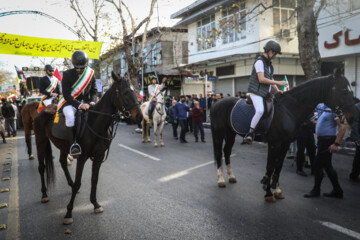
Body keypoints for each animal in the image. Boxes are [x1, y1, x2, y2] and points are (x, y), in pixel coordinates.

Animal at [34, 71, 142, 225]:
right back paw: (44, 194)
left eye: (135, 91)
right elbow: (79, 183)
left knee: (62, 162)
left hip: (62, 145)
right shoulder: (82, 157)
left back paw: (69, 184)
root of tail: (44, 110)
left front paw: (95, 204)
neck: (95, 123)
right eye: (126, 92)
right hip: (40, 140)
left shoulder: (98, 156)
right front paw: (68, 213)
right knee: (41, 167)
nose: (139, 117)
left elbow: (94, 180)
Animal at [212, 69, 356, 201]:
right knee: (219, 153)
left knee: (227, 151)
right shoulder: (274, 144)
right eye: (343, 90)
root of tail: (217, 102)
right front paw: (268, 192)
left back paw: (231, 176)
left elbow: (278, 166)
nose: (352, 116)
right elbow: (270, 166)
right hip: (219, 134)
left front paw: (277, 190)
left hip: (231, 133)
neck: (288, 110)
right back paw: (220, 180)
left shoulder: (285, 143)